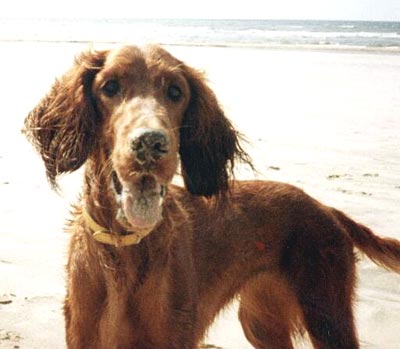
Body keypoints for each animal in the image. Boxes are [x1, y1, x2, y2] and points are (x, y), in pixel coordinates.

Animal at [24, 44, 400, 348]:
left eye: (176, 92)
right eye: (110, 87)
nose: (151, 143)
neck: (125, 247)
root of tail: (326, 208)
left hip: (326, 316)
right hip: (262, 322)